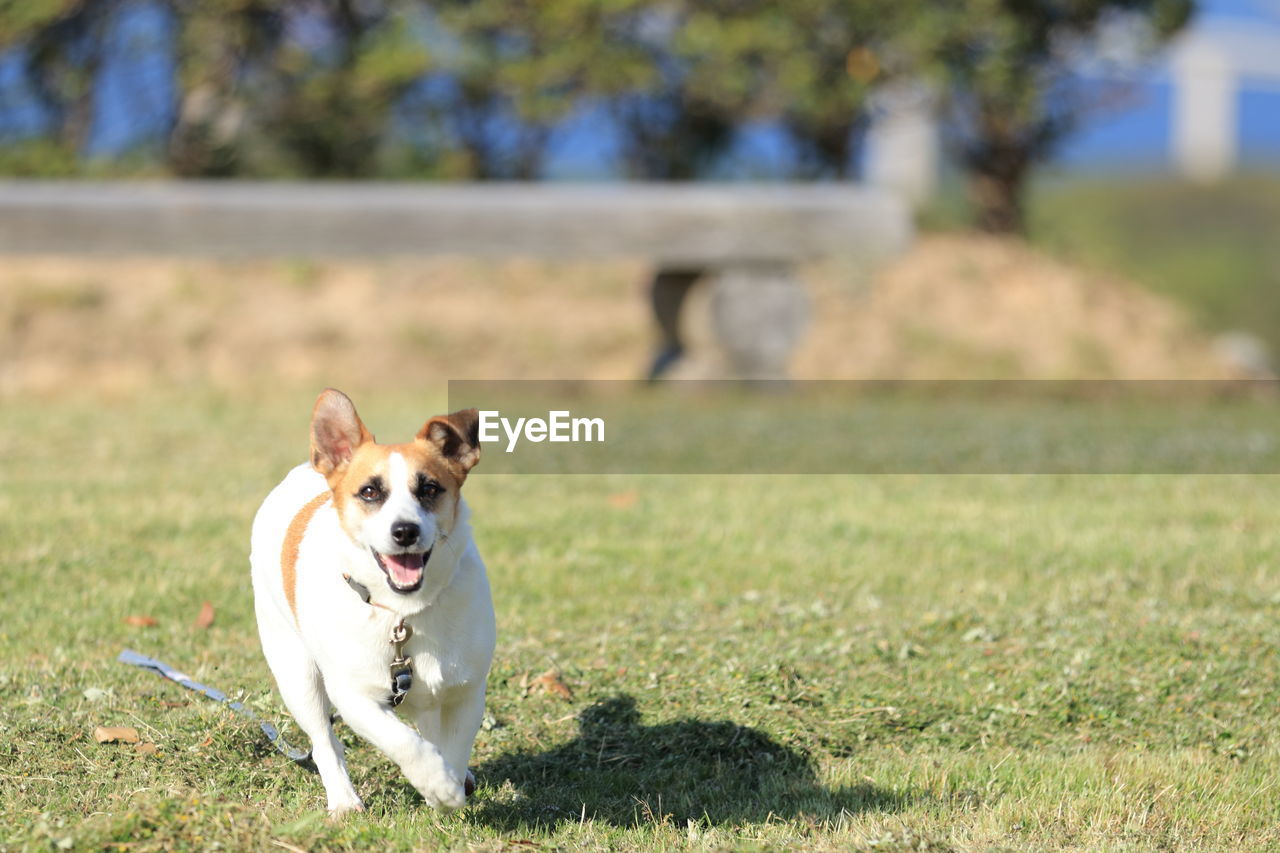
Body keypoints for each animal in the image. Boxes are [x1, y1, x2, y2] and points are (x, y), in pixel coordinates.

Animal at [249, 389, 494, 814]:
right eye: (369, 492)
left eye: (430, 489)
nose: (405, 531)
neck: (404, 611)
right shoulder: (354, 696)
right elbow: (404, 742)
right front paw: (439, 786)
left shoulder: (466, 689)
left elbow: (454, 744)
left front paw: (449, 783)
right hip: (296, 673)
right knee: (324, 741)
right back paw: (344, 800)